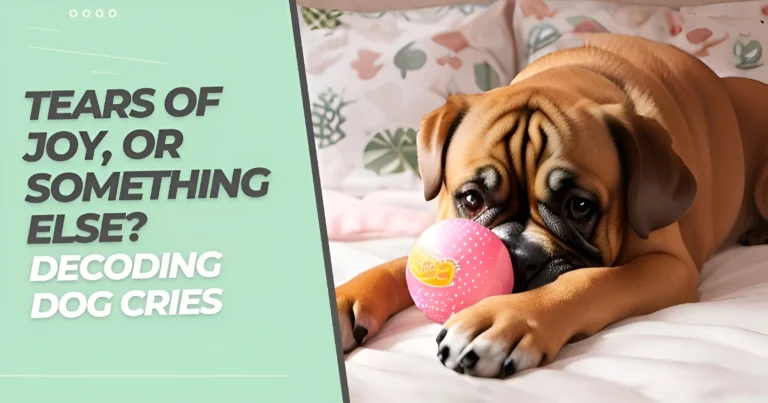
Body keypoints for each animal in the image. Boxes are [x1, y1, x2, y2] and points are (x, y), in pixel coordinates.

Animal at [334, 34, 768, 378]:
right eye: (472, 199)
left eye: (579, 206)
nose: (517, 257)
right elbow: (398, 266)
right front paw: (345, 299)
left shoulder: (667, 265)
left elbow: (589, 280)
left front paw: (507, 319)